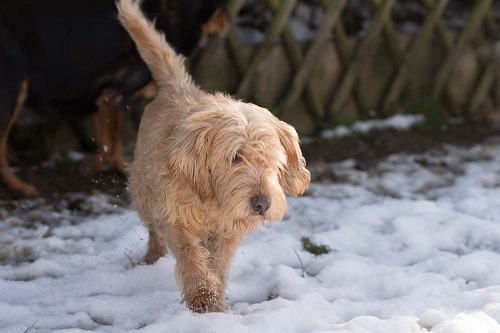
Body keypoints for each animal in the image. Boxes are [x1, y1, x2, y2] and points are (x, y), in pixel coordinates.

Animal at [0, 0, 227, 196]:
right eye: (221, 6)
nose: (228, 19)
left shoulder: (105, 100)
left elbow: (112, 143)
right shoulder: (114, 94)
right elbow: (109, 144)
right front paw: (85, 167)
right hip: (14, 90)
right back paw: (20, 187)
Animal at [118, 0, 310, 312]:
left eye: (270, 158)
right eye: (235, 158)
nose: (262, 204)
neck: (214, 197)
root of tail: (176, 86)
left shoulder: (227, 231)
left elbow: (217, 263)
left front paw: (214, 297)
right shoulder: (178, 218)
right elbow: (191, 255)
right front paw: (202, 298)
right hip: (144, 192)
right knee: (155, 232)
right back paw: (151, 258)